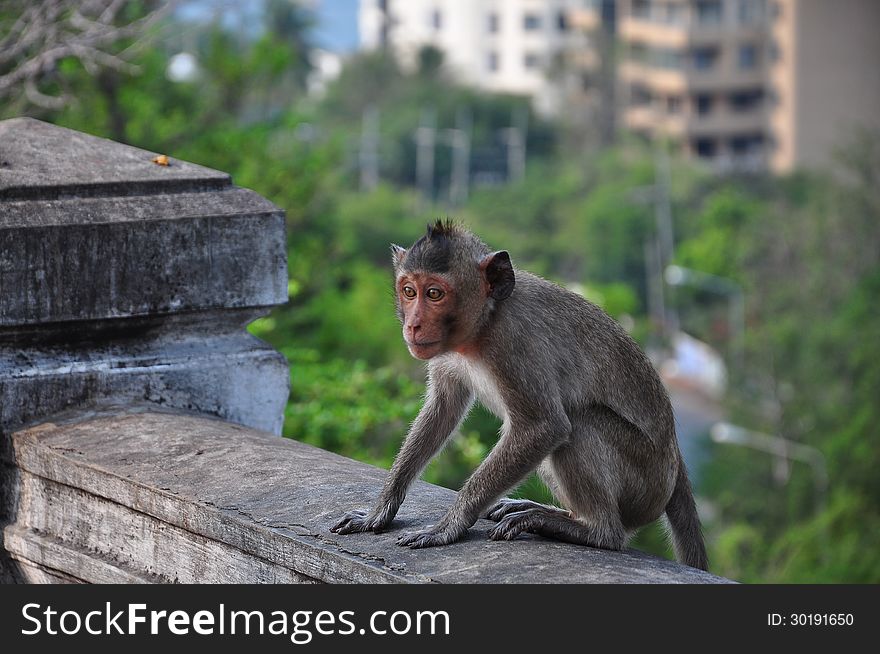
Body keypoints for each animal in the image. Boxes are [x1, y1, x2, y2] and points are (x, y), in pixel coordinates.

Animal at [330, 222, 708, 576]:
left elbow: (544, 426)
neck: (484, 323)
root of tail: (674, 461)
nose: (413, 325)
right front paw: (380, 511)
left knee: (580, 423)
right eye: (409, 291)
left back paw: (592, 530)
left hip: (643, 482)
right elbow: (442, 411)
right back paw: (553, 514)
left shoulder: (513, 344)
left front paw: (448, 526)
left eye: (434, 293)